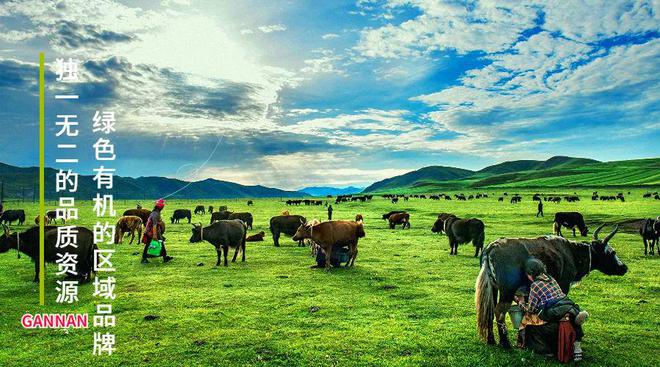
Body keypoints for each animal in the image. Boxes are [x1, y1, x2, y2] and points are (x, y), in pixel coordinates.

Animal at [476, 226, 628, 350]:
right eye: (612, 253)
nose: (624, 268)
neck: (572, 253)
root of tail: (491, 248)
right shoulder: (564, 285)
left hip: (494, 289)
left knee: (489, 310)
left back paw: (491, 340)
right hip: (507, 292)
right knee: (499, 312)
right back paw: (505, 343)